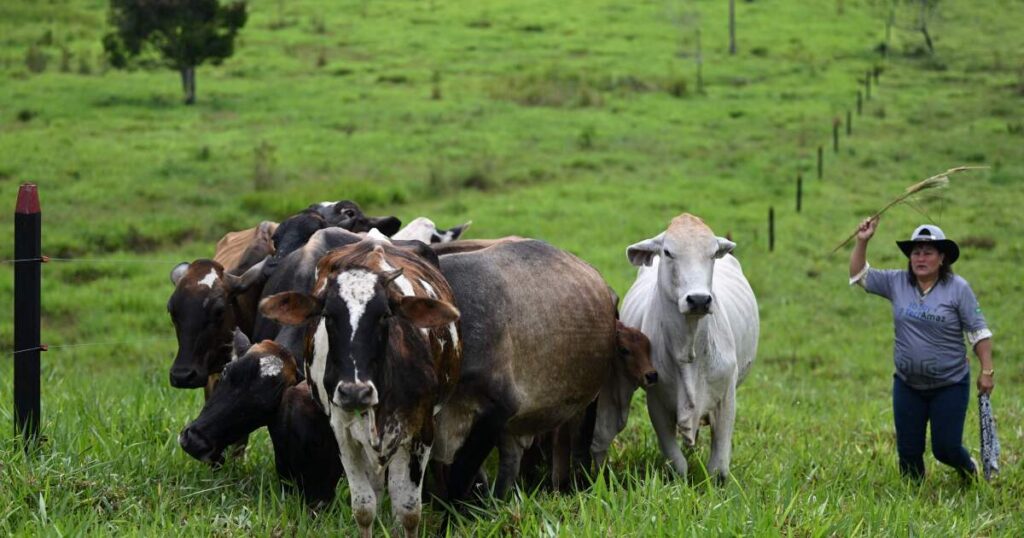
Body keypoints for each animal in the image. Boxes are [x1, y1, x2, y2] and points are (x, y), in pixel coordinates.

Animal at [259, 235, 462, 538]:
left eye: (385, 315)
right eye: (328, 316)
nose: (355, 392)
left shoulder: (421, 432)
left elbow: (409, 510)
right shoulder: (343, 433)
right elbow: (364, 507)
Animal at [619, 213, 759, 482]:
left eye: (712, 253)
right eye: (668, 252)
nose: (699, 299)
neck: (689, 350)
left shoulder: (726, 399)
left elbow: (718, 467)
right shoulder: (657, 402)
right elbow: (677, 462)